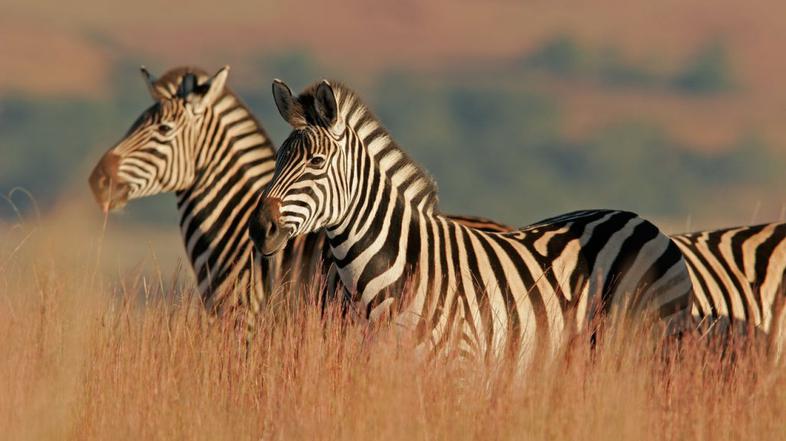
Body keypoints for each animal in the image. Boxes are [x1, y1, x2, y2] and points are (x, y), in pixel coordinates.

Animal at [248, 78, 694, 364]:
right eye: (278, 159)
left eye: (316, 162)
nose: (260, 227)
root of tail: (642, 220)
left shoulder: (459, 366)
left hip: (654, 347)